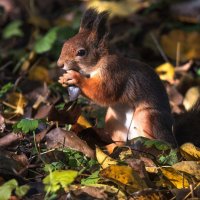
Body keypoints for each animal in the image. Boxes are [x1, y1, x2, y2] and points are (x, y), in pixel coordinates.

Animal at [57, 9, 177, 146]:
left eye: (81, 52)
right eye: (65, 44)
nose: (59, 64)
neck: (99, 62)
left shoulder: (114, 73)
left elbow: (105, 92)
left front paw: (76, 78)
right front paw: (63, 79)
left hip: (148, 117)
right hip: (113, 119)